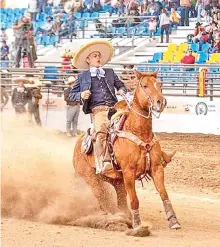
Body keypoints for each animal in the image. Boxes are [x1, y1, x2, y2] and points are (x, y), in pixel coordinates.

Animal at [73, 71, 181, 233]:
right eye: (144, 86)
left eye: (159, 85)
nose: (160, 102)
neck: (139, 132)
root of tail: (78, 144)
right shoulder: (129, 172)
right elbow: (135, 200)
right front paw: (138, 225)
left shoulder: (156, 168)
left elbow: (163, 194)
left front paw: (173, 221)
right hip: (91, 179)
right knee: (102, 200)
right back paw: (112, 221)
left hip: (117, 181)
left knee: (121, 201)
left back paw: (123, 218)